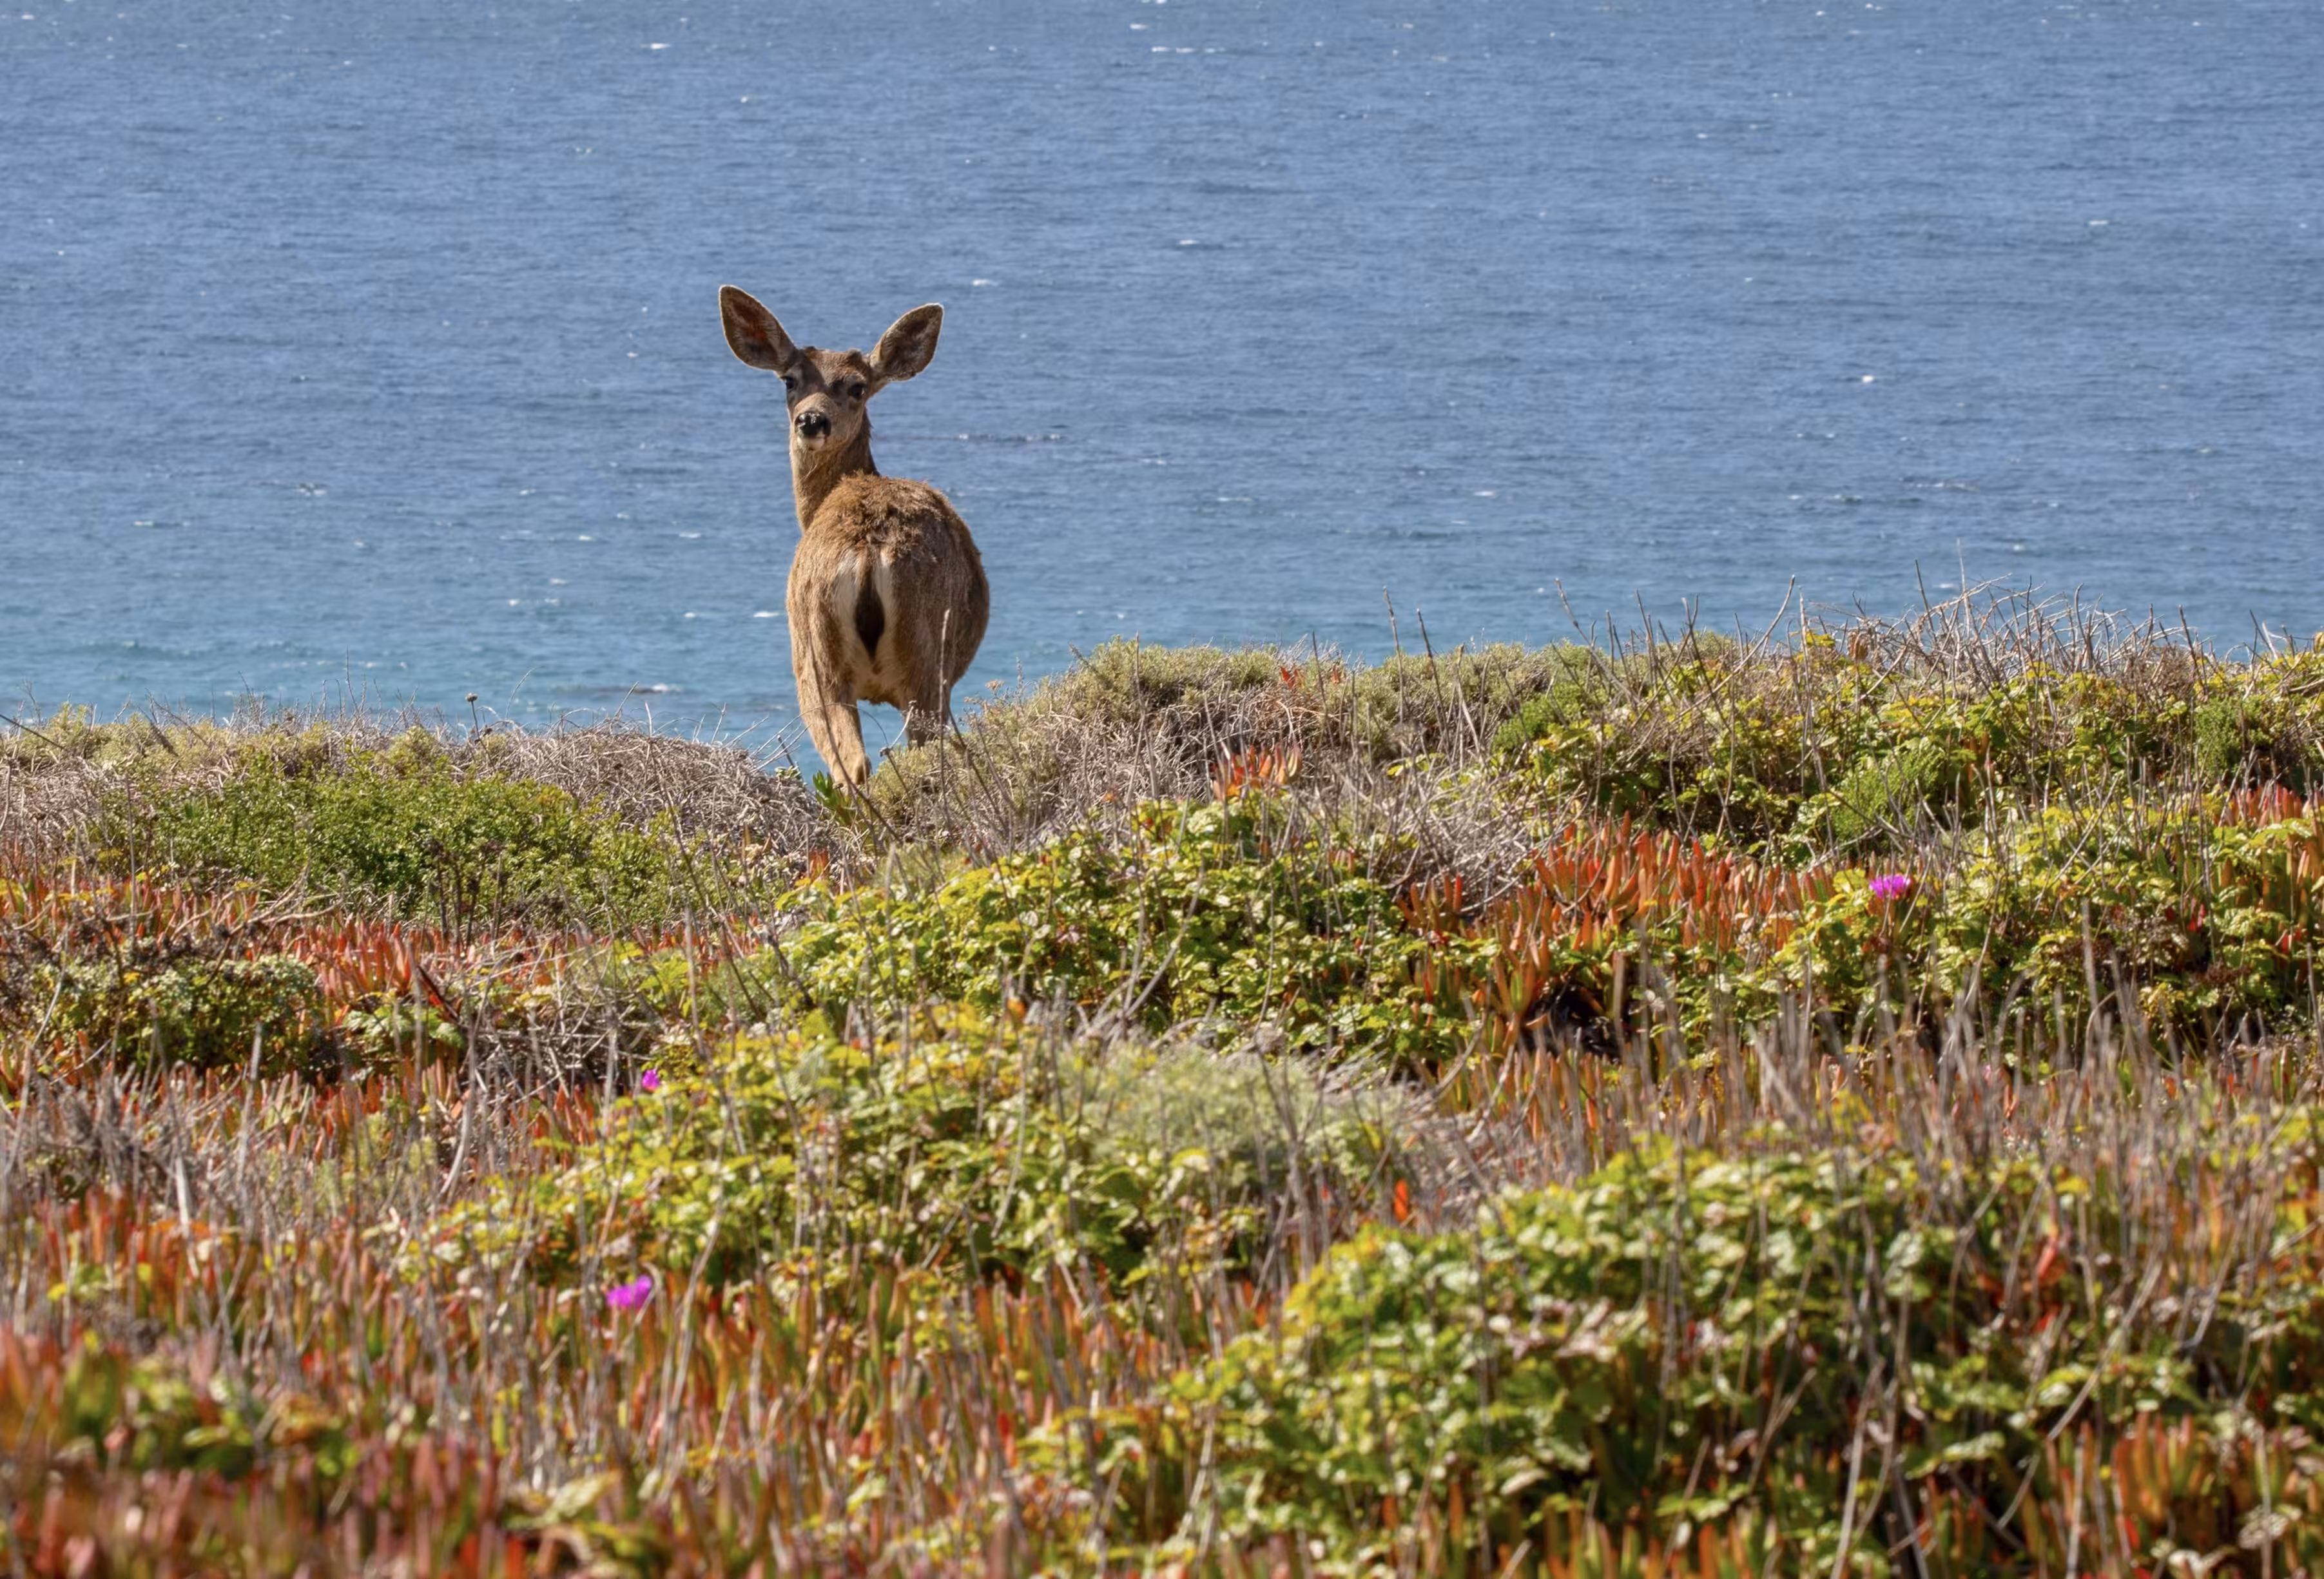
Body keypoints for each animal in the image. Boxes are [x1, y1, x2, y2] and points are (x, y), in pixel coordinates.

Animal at [718, 285, 991, 788]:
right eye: (789, 380)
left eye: (857, 387)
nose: (811, 420)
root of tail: (868, 549)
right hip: (906, 658)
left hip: (816, 652)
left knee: (855, 762)